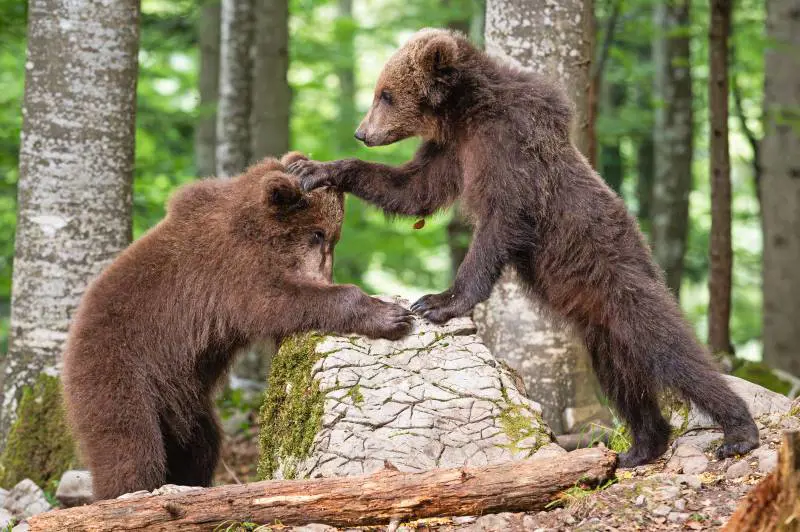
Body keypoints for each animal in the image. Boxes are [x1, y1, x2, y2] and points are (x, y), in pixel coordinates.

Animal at [62, 154, 414, 500]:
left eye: (332, 235)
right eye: (318, 233)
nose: (325, 275)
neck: (261, 235)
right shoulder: (231, 272)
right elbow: (281, 301)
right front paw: (391, 315)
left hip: (183, 401)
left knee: (201, 444)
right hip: (121, 374)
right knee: (130, 445)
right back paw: (129, 493)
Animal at [287, 28, 760, 467]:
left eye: (385, 94)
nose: (362, 132)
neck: (467, 115)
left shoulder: (510, 150)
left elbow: (499, 225)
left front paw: (439, 302)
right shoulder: (454, 150)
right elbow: (412, 189)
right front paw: (314, 168)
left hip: (618, 276)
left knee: (669, 344)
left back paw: (737, 431)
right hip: (597, 320)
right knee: (619, 374)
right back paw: (641, 446)